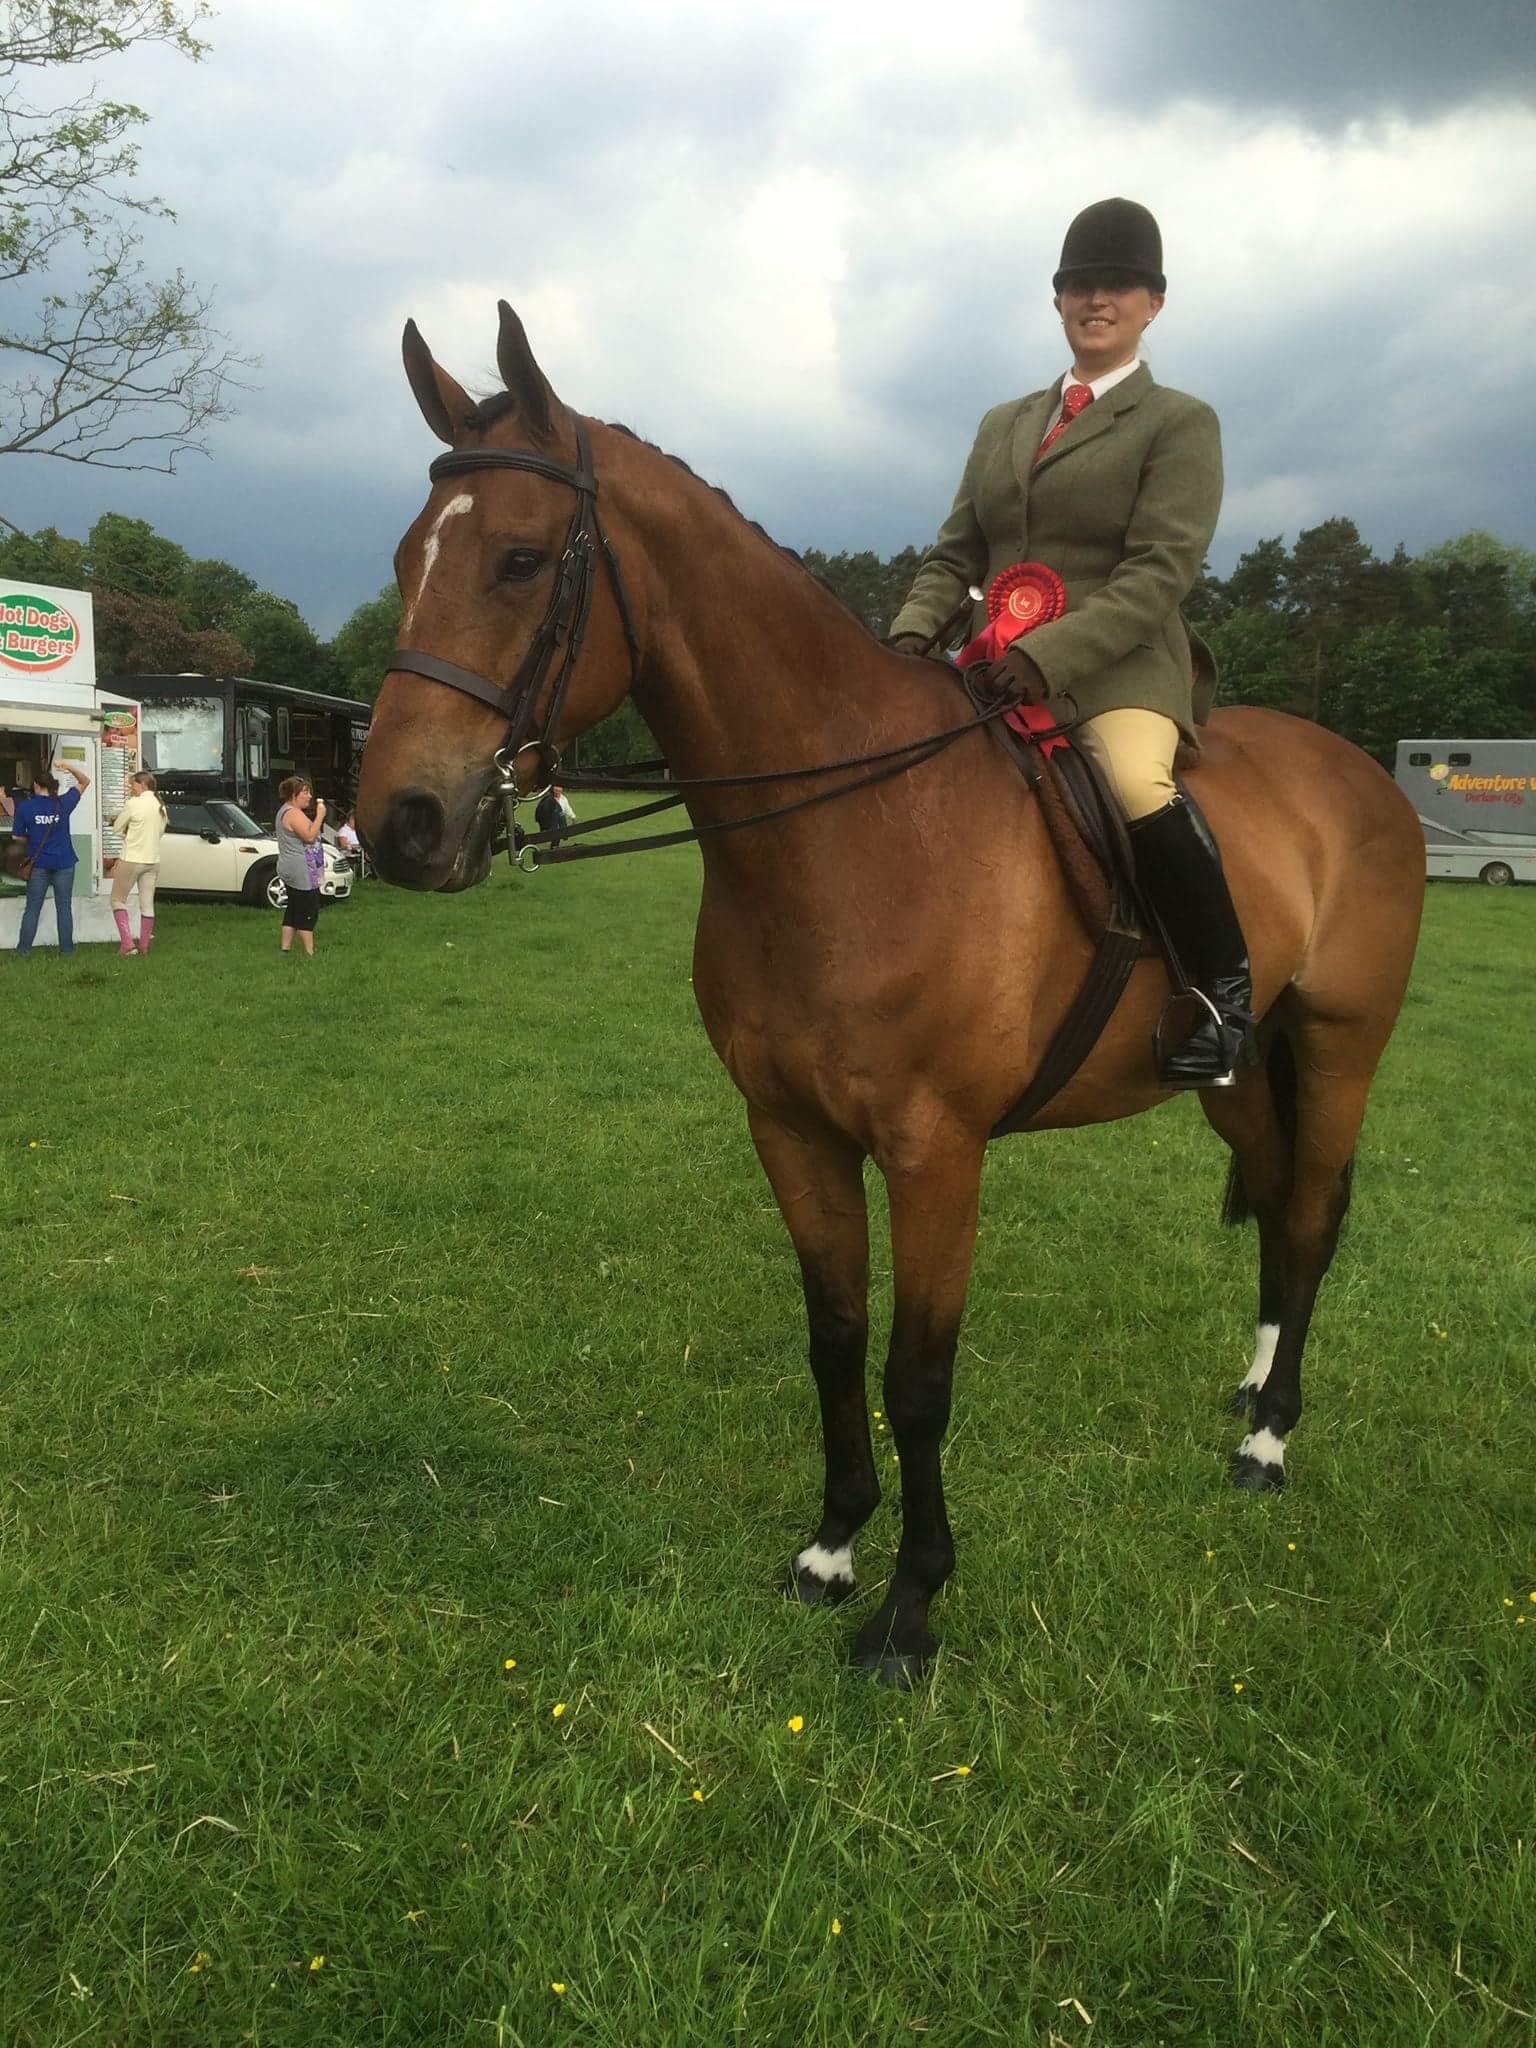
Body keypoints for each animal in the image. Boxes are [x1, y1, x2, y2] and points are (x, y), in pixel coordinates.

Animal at [356, 303, 1425, 1687]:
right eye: (402, 558)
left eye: (523, 560)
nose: (402, 823)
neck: (850, 830)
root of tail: (1358, 771)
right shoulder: (792, 1130)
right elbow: (833, 1337)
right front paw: (830, 1550)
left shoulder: (935, 1150)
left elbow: (919, 1374)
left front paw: (911, 1606)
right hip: (1234, 1070)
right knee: (1281, 1205)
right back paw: (1249, 1389)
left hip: (1343, 1044)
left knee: (1310, 1215)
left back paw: (1269, 1440)